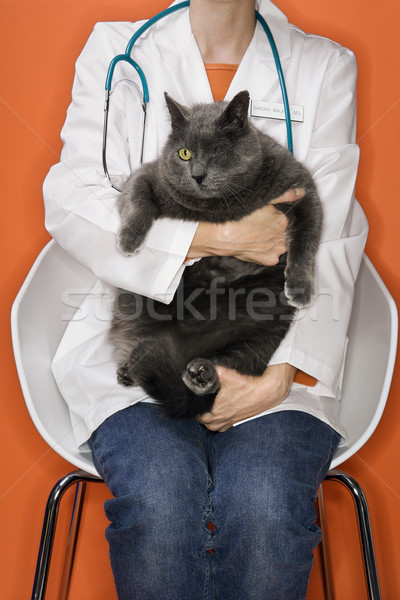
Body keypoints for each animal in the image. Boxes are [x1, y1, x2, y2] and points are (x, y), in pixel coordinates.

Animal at [111, 91, 324, 420]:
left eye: (217, 153)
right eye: (184, 153)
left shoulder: (303, 190)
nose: (197, 175)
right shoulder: (149, 175)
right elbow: (137, 197)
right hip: (137, 303)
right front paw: (128, 239)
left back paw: (202, 375)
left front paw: (301, 287)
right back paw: (133, 369)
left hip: (264, 321)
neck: (223, 206)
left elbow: (307, 237)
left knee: (235, 364)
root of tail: (177, 347)